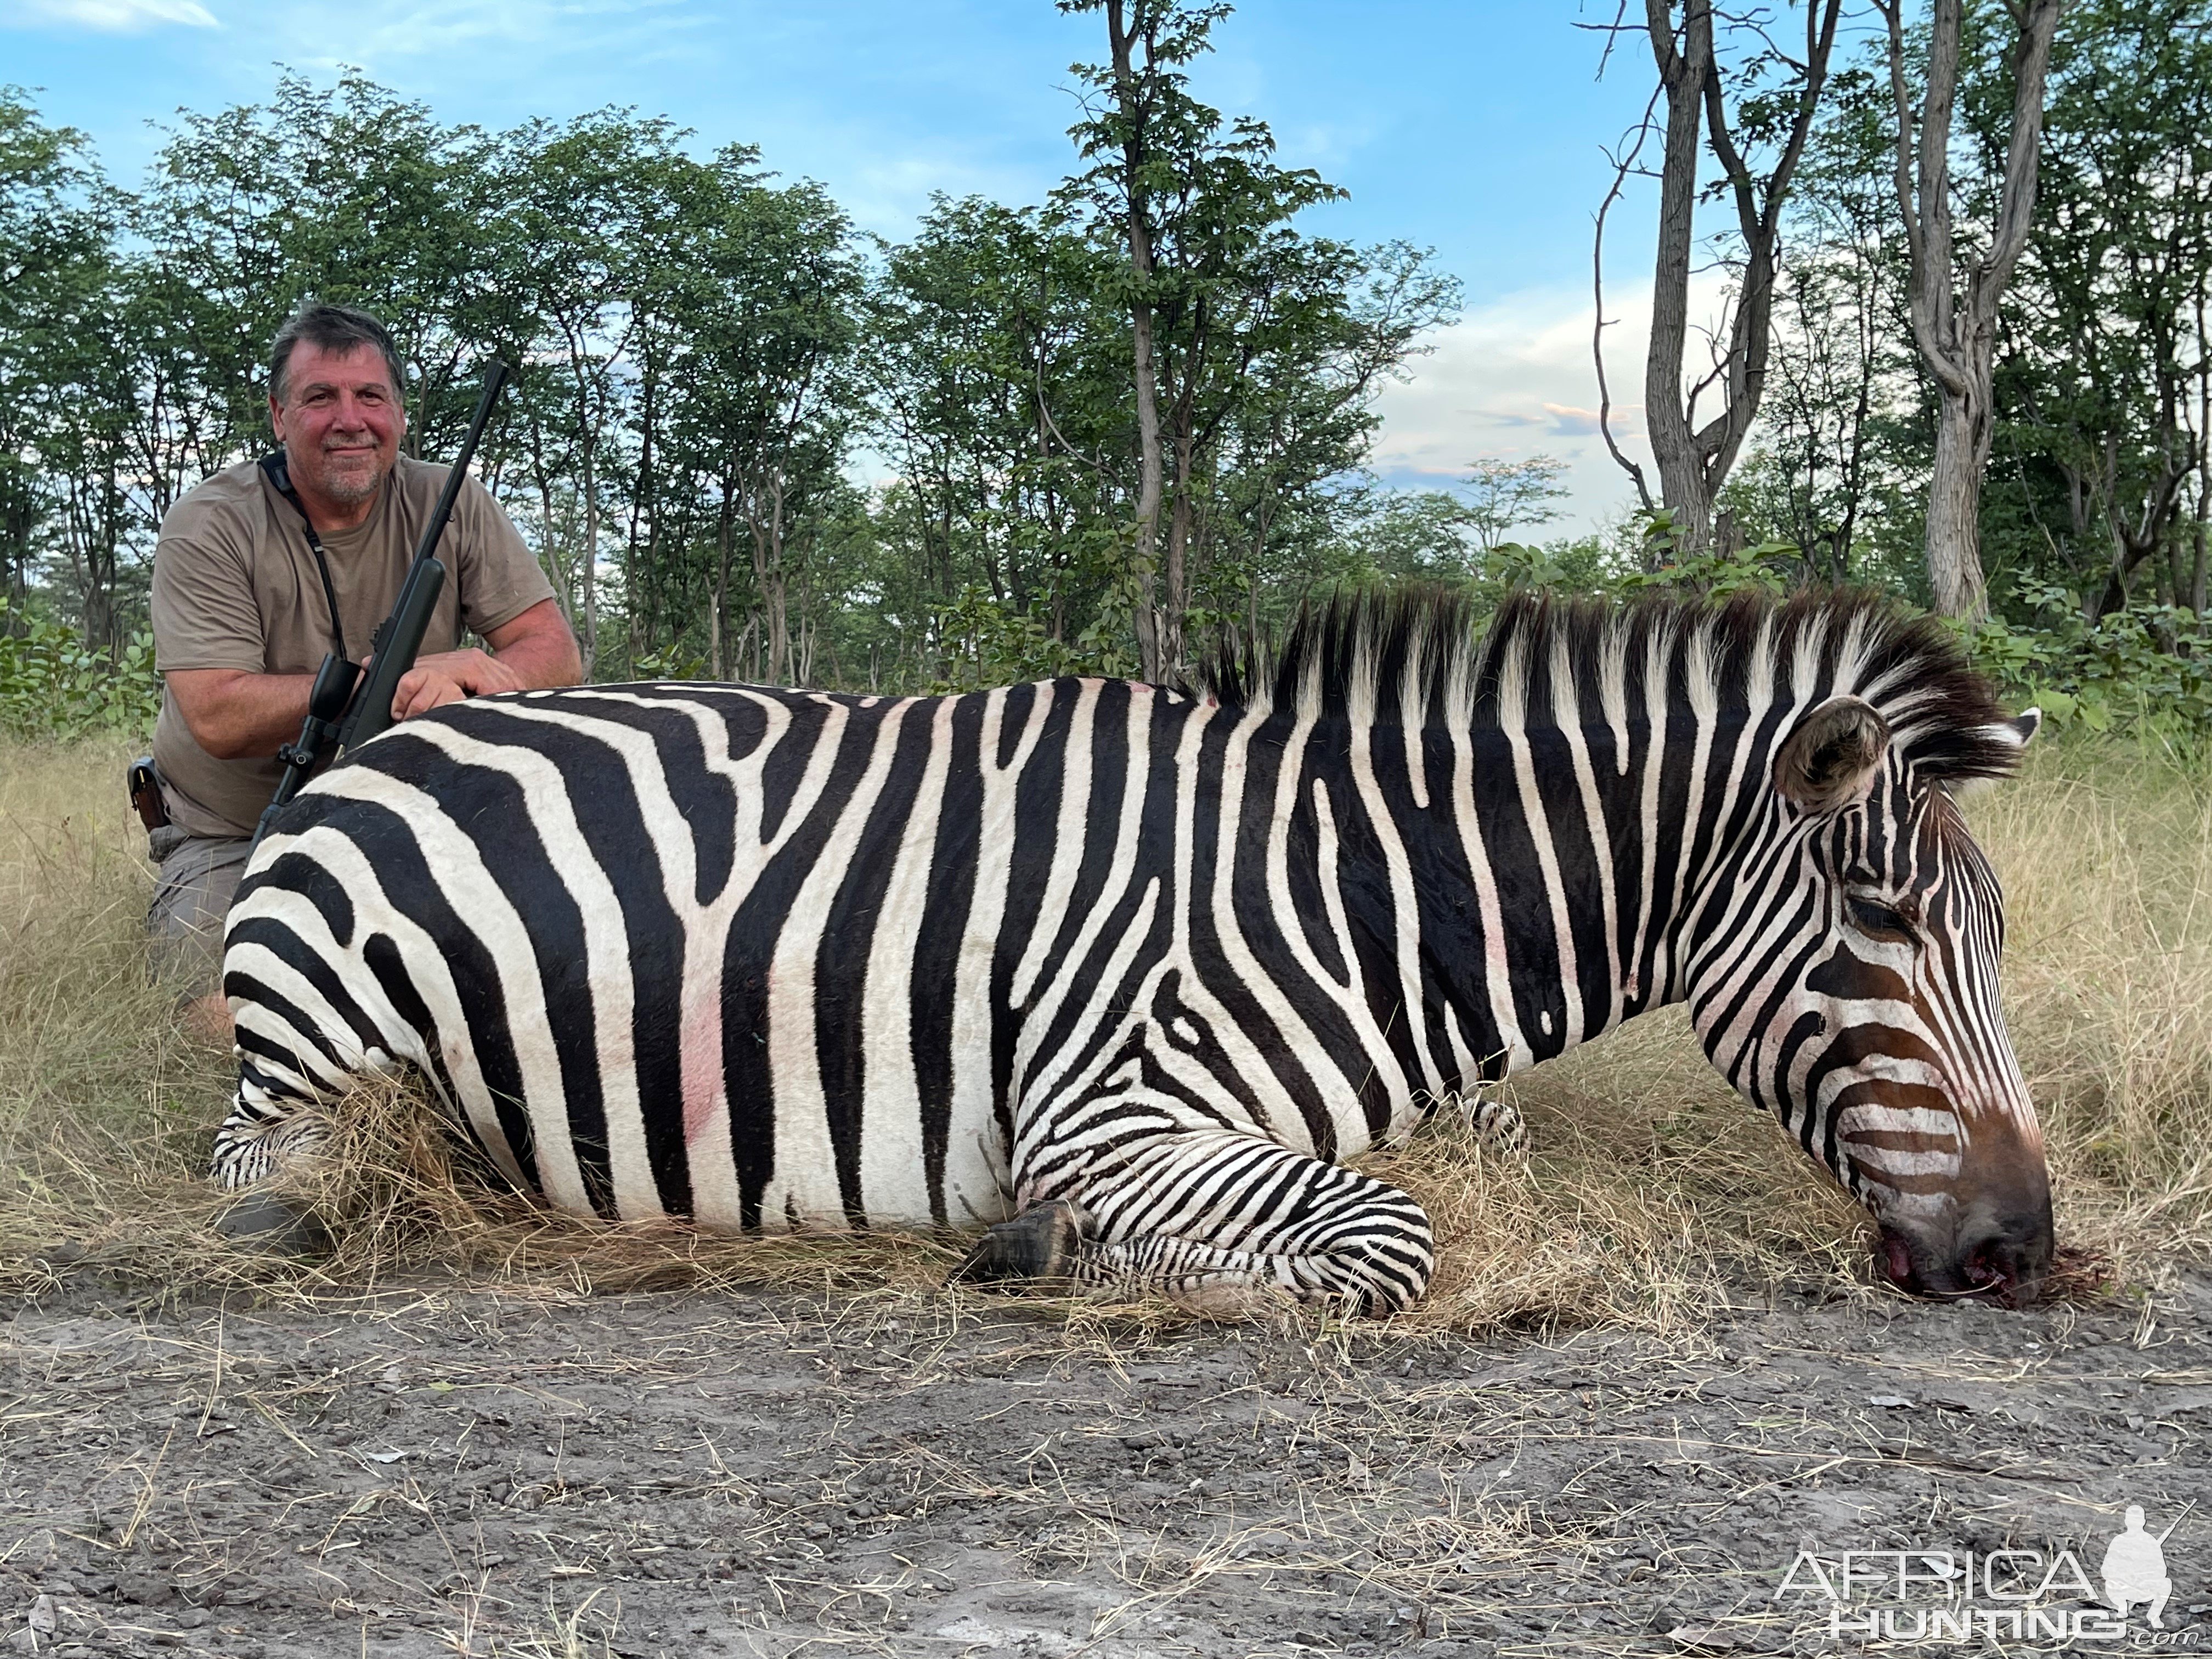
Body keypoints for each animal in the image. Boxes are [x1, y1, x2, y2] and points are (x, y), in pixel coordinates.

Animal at [211, 592, 2052, 1318]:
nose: (2026, 1248)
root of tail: (368, 748)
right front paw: (1039, 1251)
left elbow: (1488, 1163)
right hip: (313, 1058)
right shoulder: (1111, 1114)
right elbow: (1388, 1243)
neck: (1362, 894)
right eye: (1885, 926)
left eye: (1992, 937)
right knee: (277, 1178)